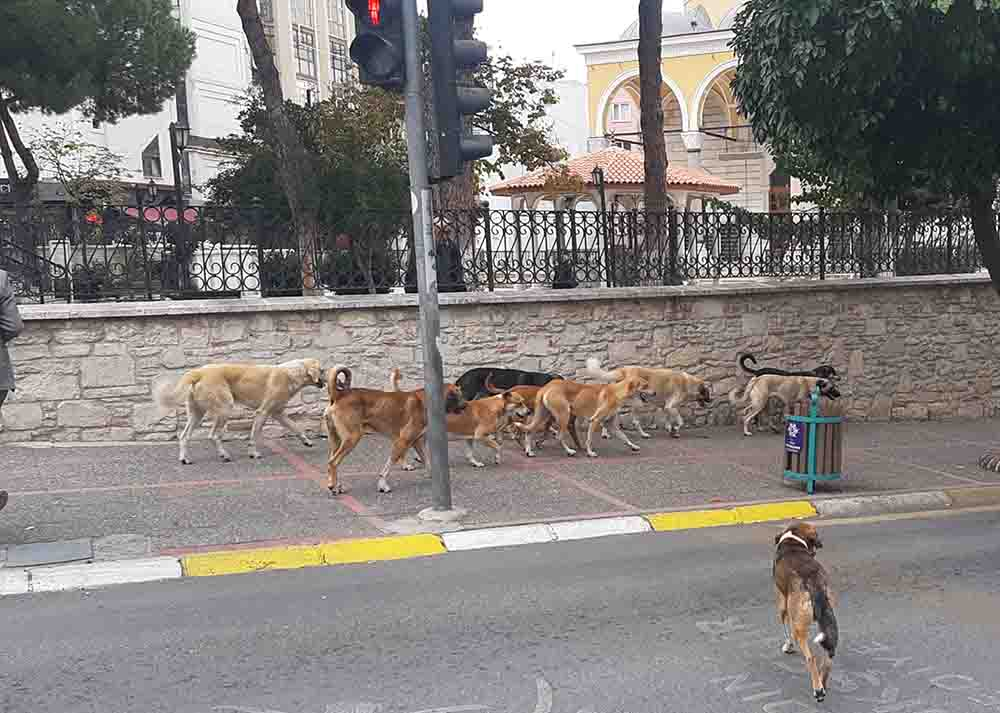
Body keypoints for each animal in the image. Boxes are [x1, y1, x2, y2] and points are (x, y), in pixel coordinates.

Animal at [153, 358, 324, 464]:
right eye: (322, 370)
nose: (326, 383)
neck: (292, 373)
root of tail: (198, 372)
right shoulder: (263, 412)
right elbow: (254, 436)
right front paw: (253, 453)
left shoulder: (278, 413)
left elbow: (296, 427)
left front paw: (306, 441)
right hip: (225, 408)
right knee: (213, 435)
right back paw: (224, 455)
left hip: (197, 414)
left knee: (184, 436)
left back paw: (185, 459)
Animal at [322, 364, 466, 492]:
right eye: (457, 396)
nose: (466, 406)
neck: (425, 401)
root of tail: (339, 395)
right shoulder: (402, 441)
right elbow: (388, 466)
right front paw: (382, 485)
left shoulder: (417, 442)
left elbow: (427, 461)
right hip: (352, 438)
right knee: (333, 462)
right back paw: (334, 486)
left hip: (336, 441)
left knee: (330, 462)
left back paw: (335, 485)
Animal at [520, 372, 652, 456]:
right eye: (645, 385)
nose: (655, 392)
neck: (616, 393)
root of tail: (547, 387)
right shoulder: (595, 421)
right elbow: (589, 440)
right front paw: (590, 452)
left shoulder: (610, 425)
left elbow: (624, 437)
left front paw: (633, 446)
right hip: (564, 416)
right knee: (558, 436)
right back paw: (569, 451)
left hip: (543, 416)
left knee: (529, 432)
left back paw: (529, 451)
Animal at [584, 356, 716, 440]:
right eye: (707, 393)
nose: (711, 400)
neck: (688, 383)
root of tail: (624, 369)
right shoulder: (671, 406)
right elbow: (680, 421)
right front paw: (675, 430)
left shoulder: (666, 407)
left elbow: (668, 419)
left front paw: (671, 430)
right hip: (638, 402)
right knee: (635, 421)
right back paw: (643, 434)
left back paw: (605, 433)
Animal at [772, 520, 836, 704]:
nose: (820, 544)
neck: (793, 540)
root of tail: (813, 582)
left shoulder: (782, 603)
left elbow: (786, 630)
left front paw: (788, 646)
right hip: (828, 619)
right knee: (828, 656)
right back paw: (822, 684)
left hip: (800, 625)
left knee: (811, 658)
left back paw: (818, 690)